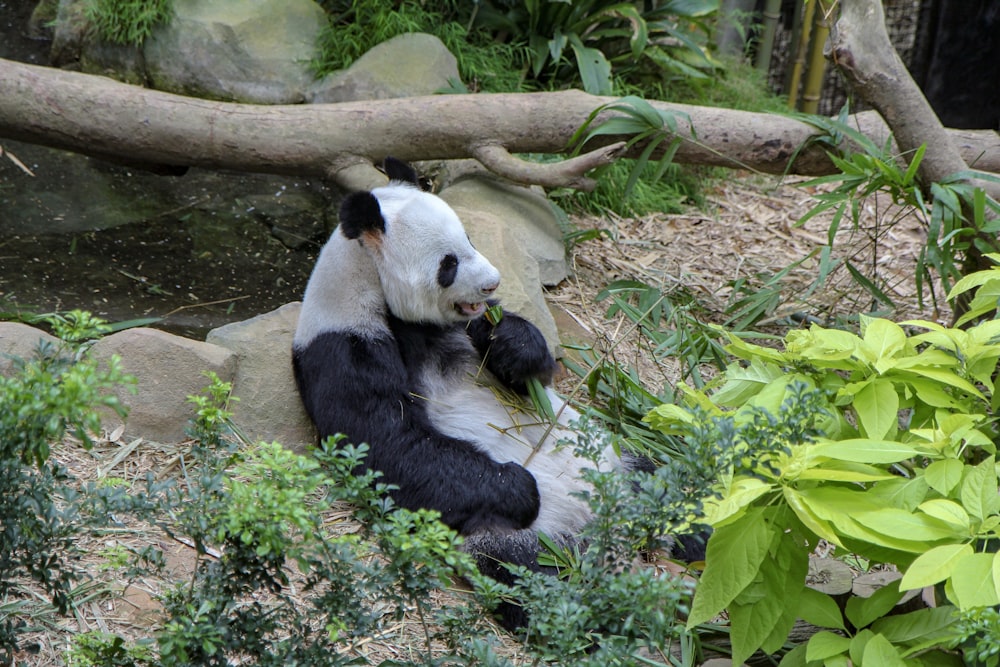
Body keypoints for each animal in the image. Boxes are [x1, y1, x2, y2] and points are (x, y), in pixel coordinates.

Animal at [292, 159, 640, 628]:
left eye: (470, 239)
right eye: (449, 263)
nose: (492, 284)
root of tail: (592, 519)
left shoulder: (464, 327)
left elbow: (528, 371)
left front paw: (511, 342)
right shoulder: (343, 343)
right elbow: (389, 443)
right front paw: (518, 487)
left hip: (613, 452)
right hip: (512, 536)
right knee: (526, 577)